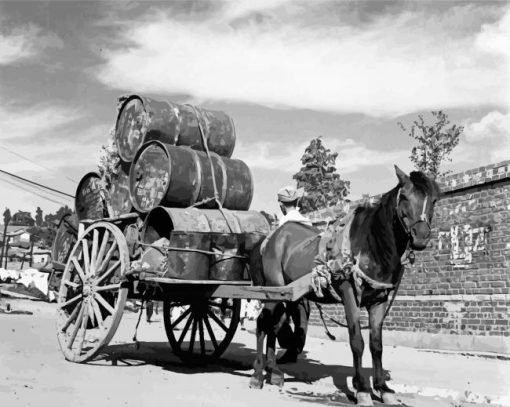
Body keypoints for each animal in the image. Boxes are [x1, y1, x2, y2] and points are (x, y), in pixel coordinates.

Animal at [249, 165, 440, 404]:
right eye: (404, 196)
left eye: (433, 199)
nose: (420, 237)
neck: (369, 246)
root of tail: (268, 239)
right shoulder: (349, 293)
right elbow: (357, 341)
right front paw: (362, 389)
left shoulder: (379, 301)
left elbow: (376, 344)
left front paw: (383, 388)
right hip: (272, 292)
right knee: (262, 324)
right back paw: (257, 375)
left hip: (287, 296)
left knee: (274, 326)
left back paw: (273, 372)